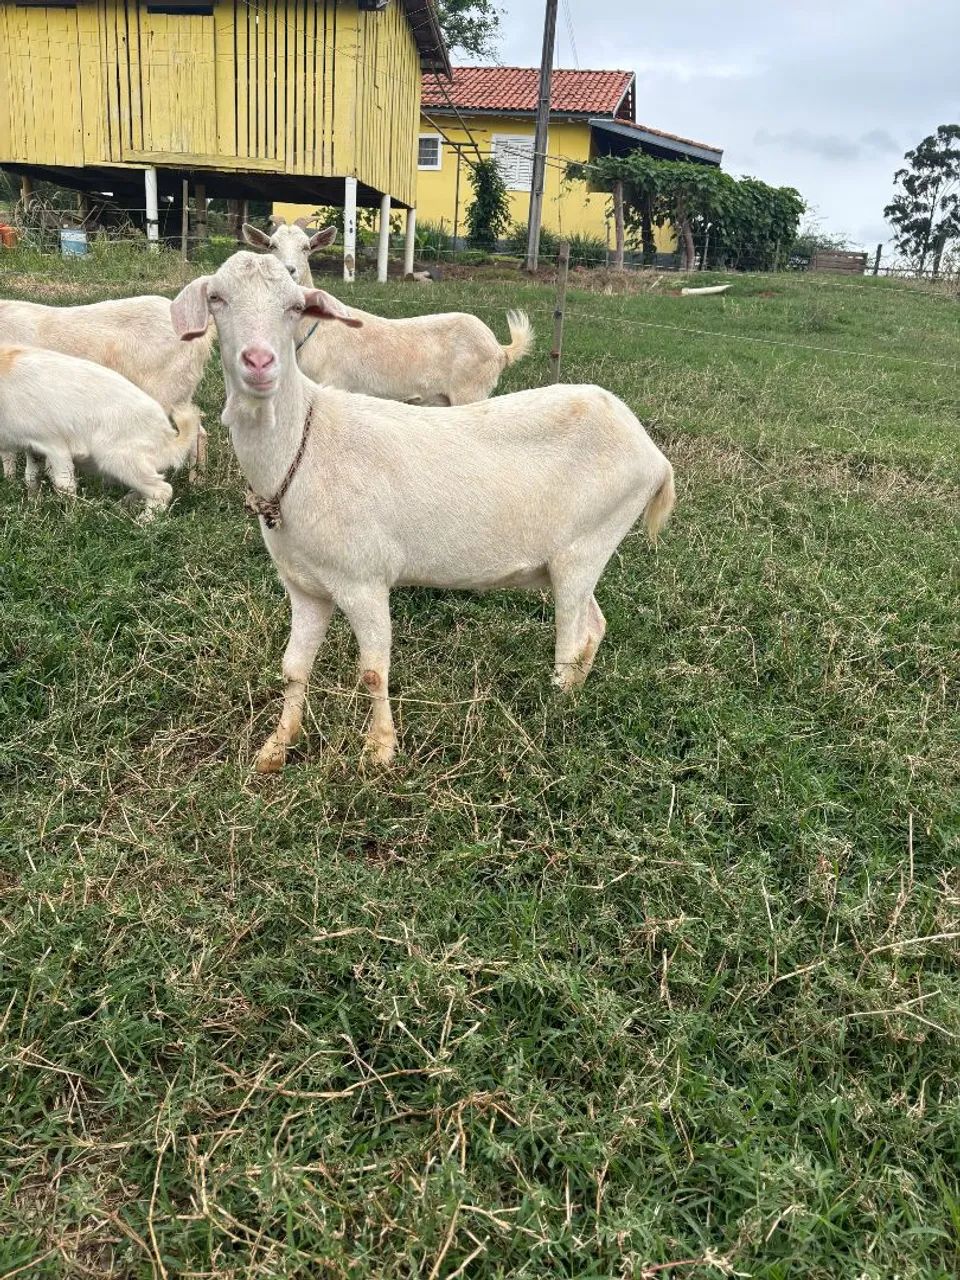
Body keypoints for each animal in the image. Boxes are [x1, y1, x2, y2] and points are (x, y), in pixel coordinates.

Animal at [0, 345, 200, 516]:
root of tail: (168, 438)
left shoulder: (55, 445)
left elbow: (64, 485)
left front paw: (71, 518)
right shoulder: (32, 446)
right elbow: (31, 477)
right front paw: (33, 506)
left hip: (118, 460)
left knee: (162, 490)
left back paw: (143, 522)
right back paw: (122, 507)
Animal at [171, 252, 675, 773]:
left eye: (294, 306)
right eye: (217, 298)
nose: (259, 362)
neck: (301, 449)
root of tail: (652, 454)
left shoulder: (364, 580)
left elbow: (373, 671)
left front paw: (379, 751)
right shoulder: (304, 586)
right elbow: (294, 668)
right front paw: (276, 747)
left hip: (587, 543)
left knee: (572, 636)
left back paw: (553, 710)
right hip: (578, 555)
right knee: (594, 624)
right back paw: (570, 696)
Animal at [241, 218, 533, 405]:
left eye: (307, 247)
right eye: (271, 246)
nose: (288, 270)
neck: (315, 329)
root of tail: (500, 349)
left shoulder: (334, 383)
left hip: (471, 391)